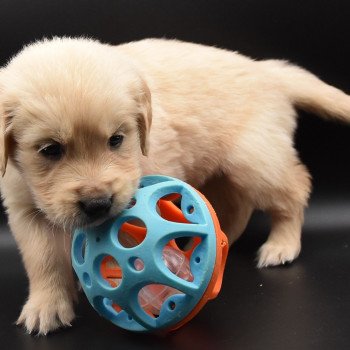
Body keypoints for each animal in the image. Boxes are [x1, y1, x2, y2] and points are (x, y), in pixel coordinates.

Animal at [0, 37, 350, 334]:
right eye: (50, 150)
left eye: (116, 139)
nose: (98, 204)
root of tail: (267, 70)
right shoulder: (24, 209)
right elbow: (44, 260)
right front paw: (47, 306)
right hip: (226, 170)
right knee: (237, 204)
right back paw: (219, 239)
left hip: (255, 160)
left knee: (294, 190)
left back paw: (281, 245)